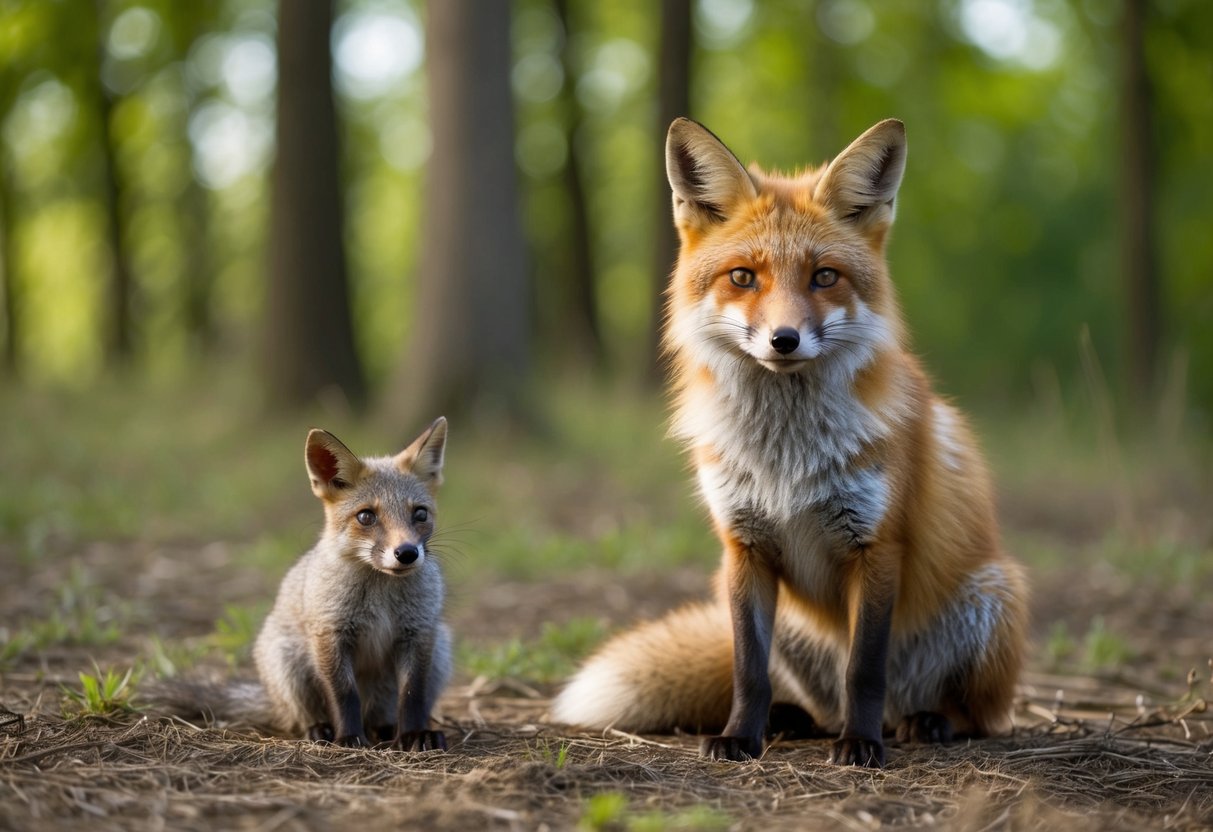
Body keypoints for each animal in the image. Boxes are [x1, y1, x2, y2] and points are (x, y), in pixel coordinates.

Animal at [150, 419, 453, 751]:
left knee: (382, 716)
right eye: (366, 516)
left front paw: (413, 735)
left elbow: (412, 696)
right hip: (287, 660)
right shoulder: (330, 634)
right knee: (300, 718)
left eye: (420, 513)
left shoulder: (418, 634)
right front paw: (348, 738)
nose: (407, 553)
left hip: (441, 649)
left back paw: (386, 729)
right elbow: (344, 694)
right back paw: (320, 730)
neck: (381, 593)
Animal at [552, 118, 1028, 768]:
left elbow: (865, 670)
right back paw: (791, 721)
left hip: (993, 596)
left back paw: (920, 722)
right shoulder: (744, 547)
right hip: (784, 626)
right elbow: (748, 669)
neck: (787, 457)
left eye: (824, 276)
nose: (784, 339)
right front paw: (739, 737)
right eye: (743, 277)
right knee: (813, 704)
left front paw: (862, 743)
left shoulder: (877, 546)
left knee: (974, 714)